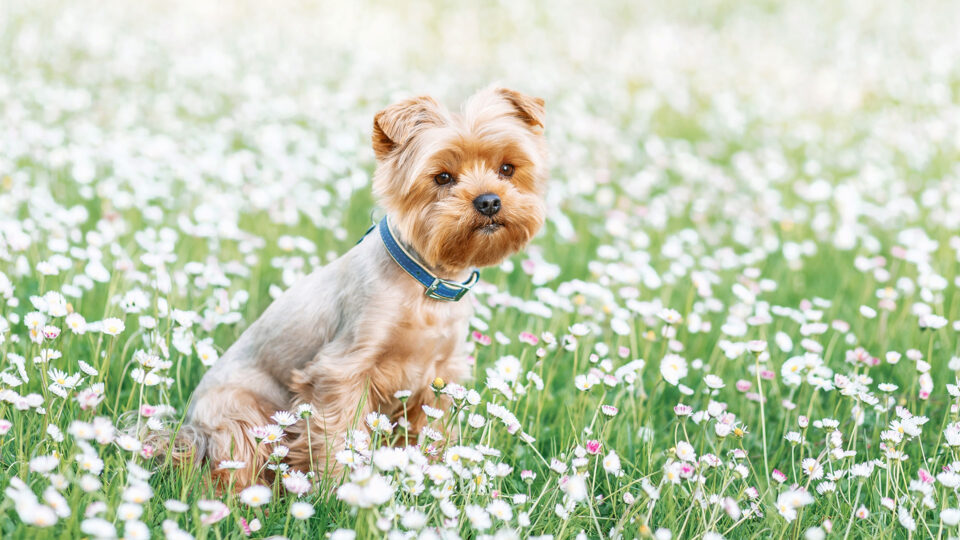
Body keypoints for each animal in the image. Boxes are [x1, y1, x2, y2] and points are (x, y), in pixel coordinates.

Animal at [174, 86, 548, 488]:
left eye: (507, 169)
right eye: (443, 177)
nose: (489, 201)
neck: (426, 284)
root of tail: (189, 425)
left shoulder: (440, 377)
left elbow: (433, 433)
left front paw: (435, 474)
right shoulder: (343, 370)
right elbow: (340, 433)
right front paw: (340, 486)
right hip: (240, 414)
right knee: (231, 466)